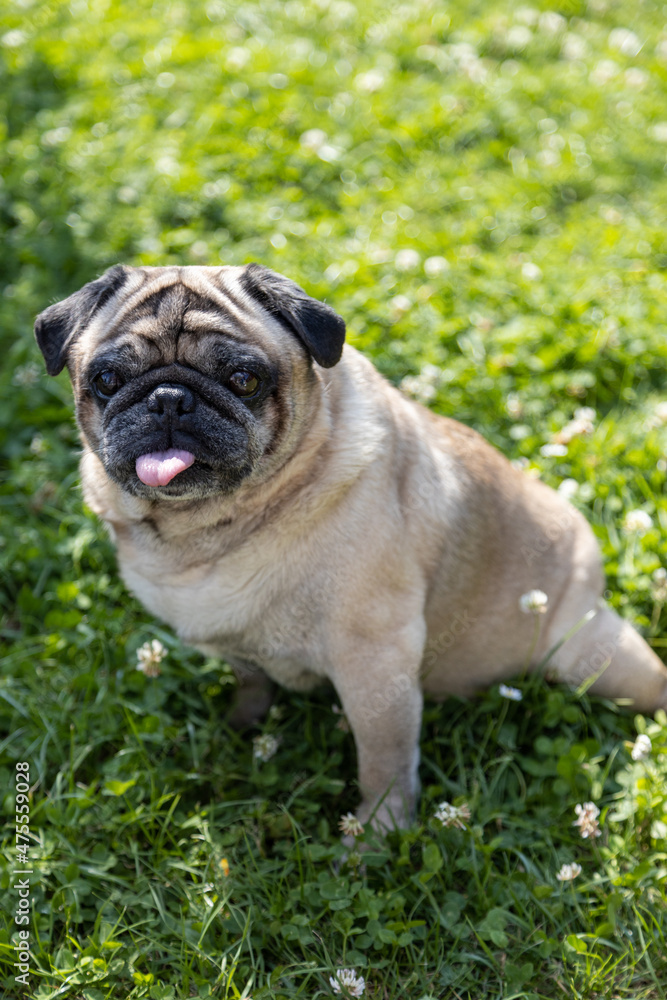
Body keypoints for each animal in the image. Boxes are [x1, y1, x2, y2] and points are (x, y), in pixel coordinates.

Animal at [34, 264, 667, 828]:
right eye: (107, 381)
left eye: (244, 380)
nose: (169, 398)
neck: (206, 528)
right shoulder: (238, 644)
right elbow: (251, 682)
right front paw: (240, 726)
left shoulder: (375, 663)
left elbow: (383, 762)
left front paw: (376, 836)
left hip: (594, 656)